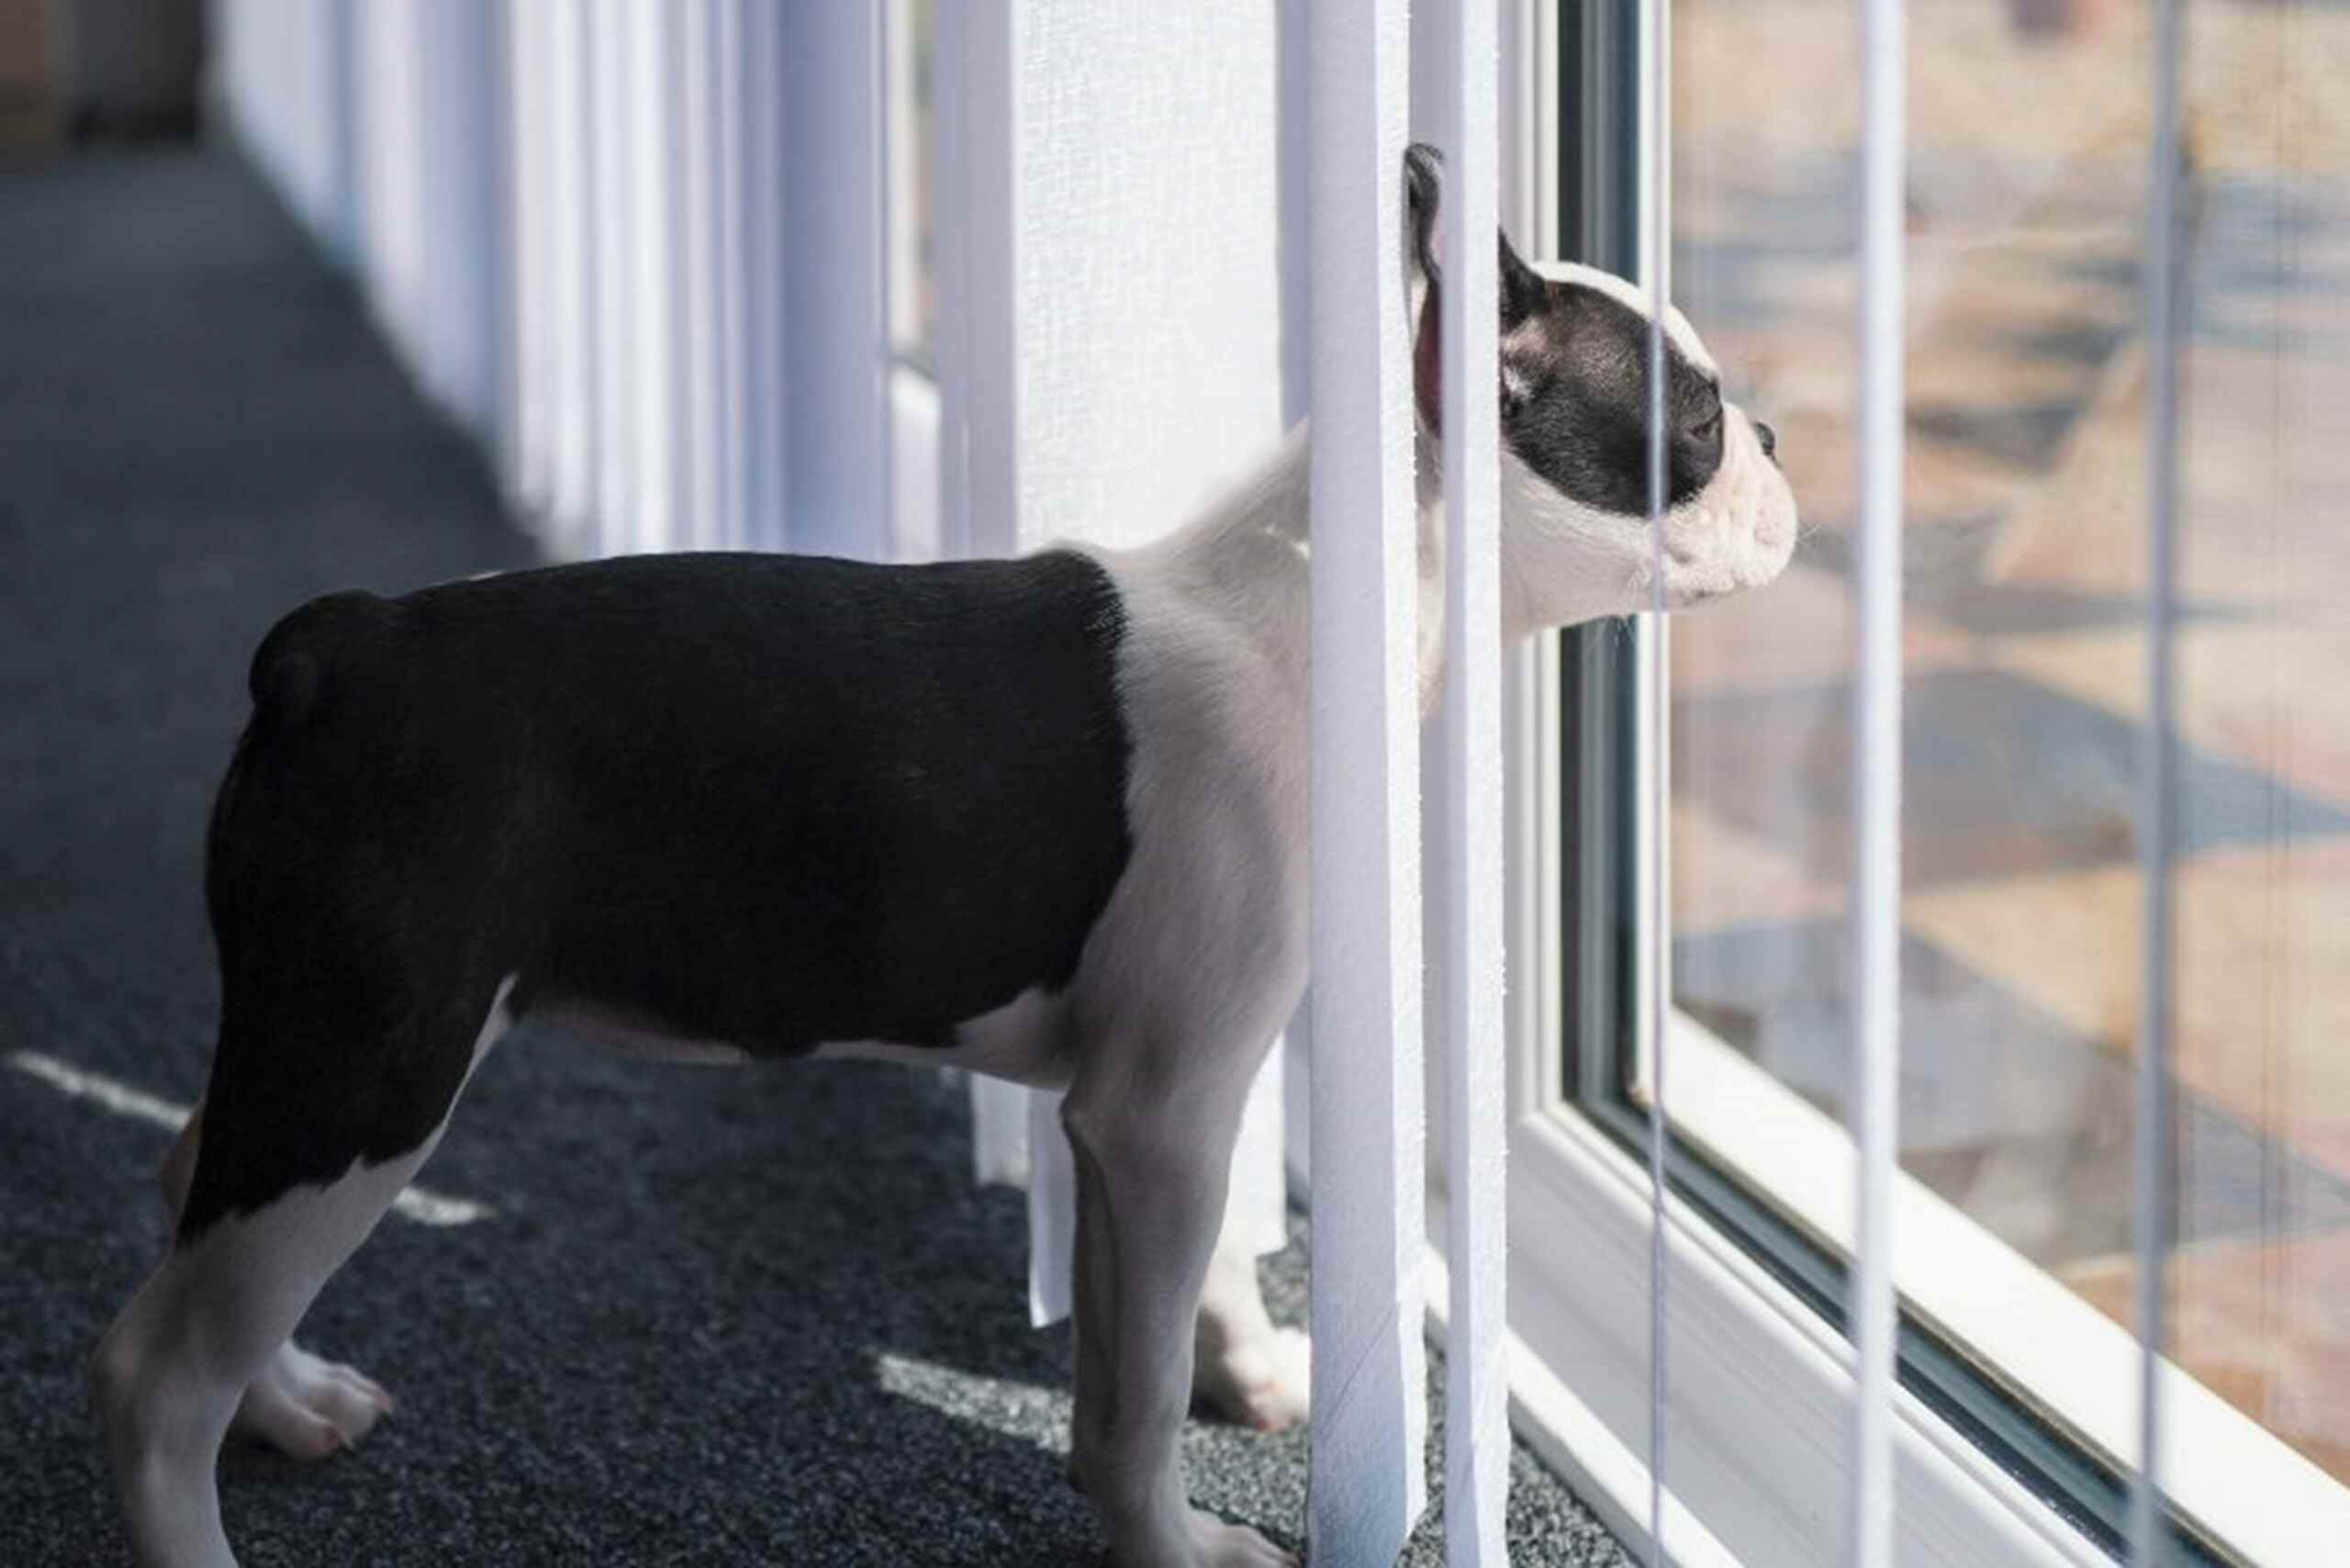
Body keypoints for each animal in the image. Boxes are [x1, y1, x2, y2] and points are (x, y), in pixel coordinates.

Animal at [83, 143, 1785, 1568]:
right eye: (1696, 421)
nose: (1775, 435)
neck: (1325, 595)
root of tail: (337, 650)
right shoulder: (1153, 1113)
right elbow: (1129, 1392)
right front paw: (1176, 1541)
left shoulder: (1181, 1096)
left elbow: (1201, 1283)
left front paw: (1251, 1370)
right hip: (378, 1060)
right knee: (156, 1365)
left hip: (319, 1038)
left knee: (186, 1185)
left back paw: (291, 1396)